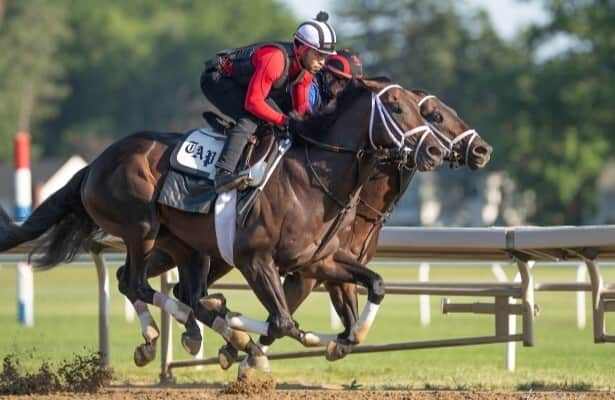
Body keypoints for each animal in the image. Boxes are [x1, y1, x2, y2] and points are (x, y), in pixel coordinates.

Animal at [0, 79, 448, 372]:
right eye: (396, 108)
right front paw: (259, 345)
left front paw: (344, 338)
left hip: (187, 247)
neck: (313, 177)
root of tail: (96, 163)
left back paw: (191, 330)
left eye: (424, 111)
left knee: (176, 290)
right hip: (141, 228)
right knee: (138, 283)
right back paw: (192, 333)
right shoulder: (255, 259)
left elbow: (373, 288)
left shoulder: (316, 262)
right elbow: (282, 322)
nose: (435, 150)